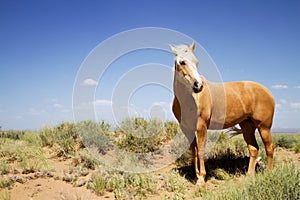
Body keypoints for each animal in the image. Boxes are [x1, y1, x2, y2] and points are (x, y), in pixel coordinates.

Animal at [170, 41, 276, 186]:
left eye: (196, 62)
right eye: (182, 62)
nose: (199, 85)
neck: (188, 99)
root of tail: (268, 92)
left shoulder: (201, 126)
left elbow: (201, 150)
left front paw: (201, 179)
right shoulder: (187, 128)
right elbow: (194, 150)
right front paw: (196, 176)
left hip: (264, 126)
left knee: (269, 147)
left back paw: (269, 174)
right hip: (247, 126)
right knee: (254, 148)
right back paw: (249, 175)